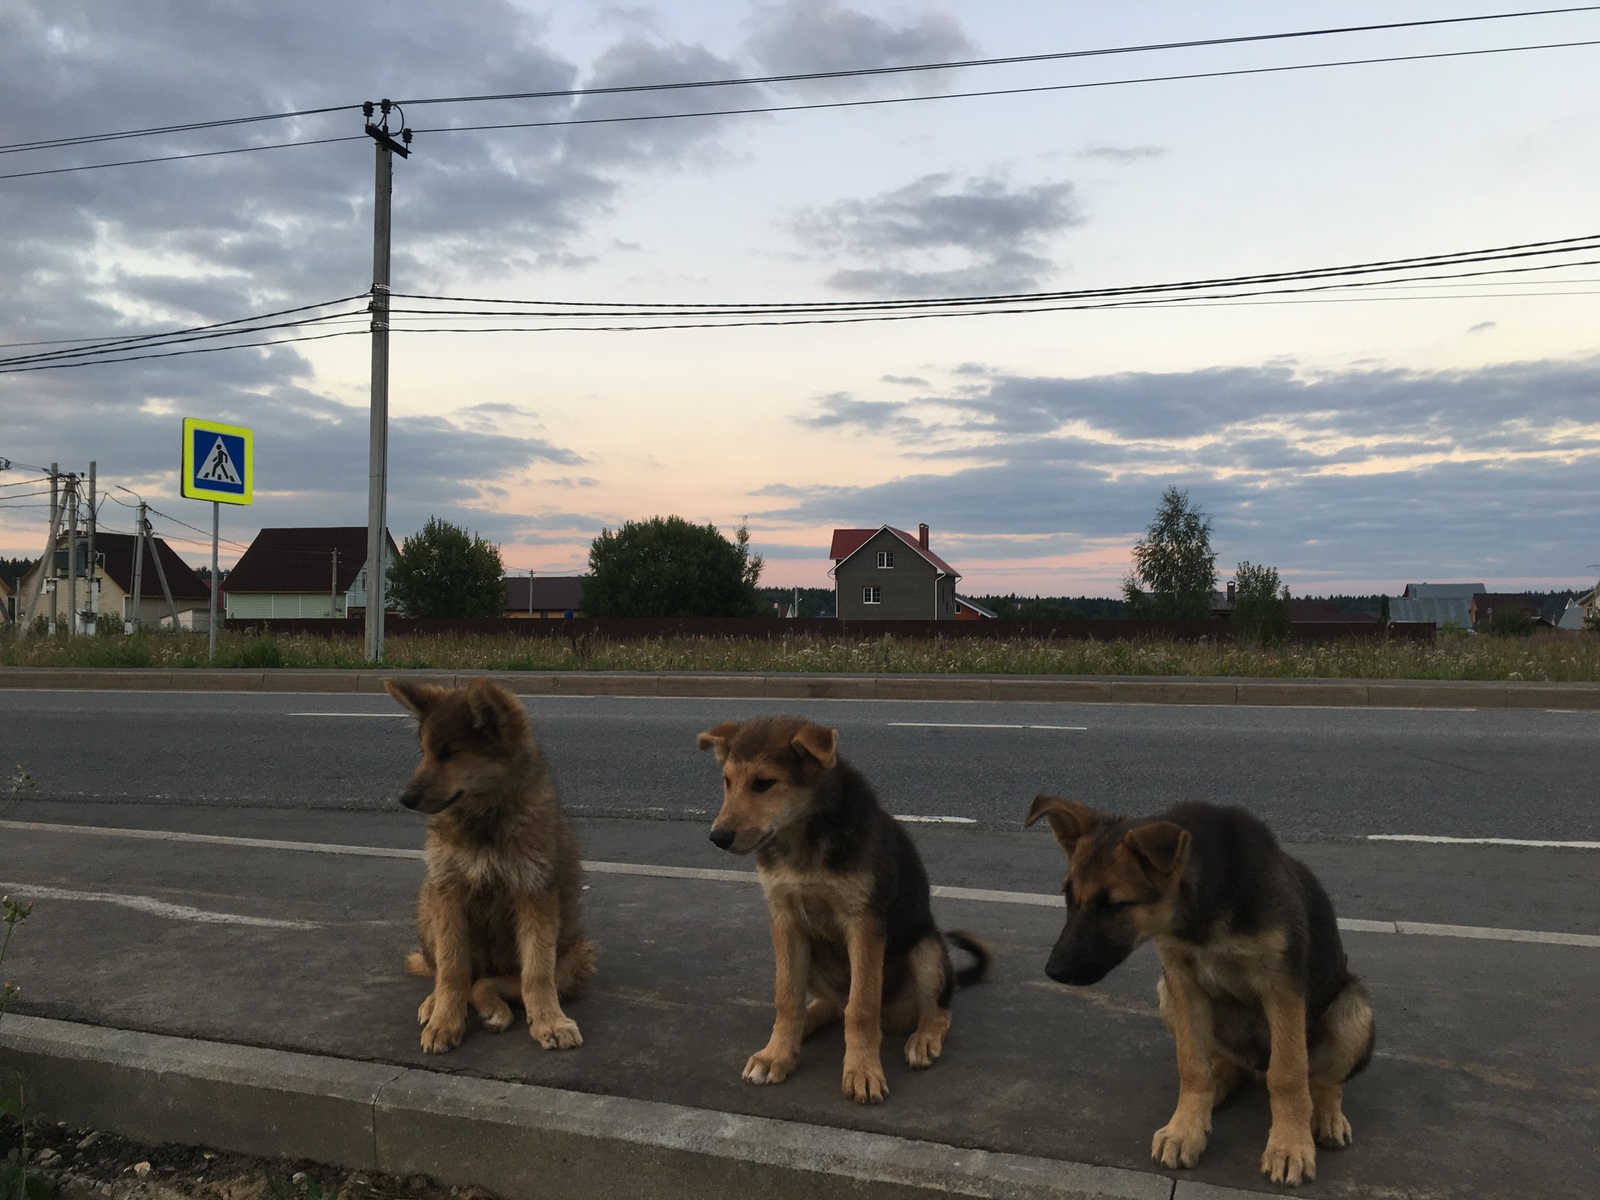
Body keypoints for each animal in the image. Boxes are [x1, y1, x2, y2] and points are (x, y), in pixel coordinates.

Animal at [385, 681, 595, 1056]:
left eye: (450, 754)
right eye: (424, 752)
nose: (404, 799)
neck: (485, 820)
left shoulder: (535, 892)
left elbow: (536, 973)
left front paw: (549, 1022)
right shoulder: (448, 890)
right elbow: (452, 969)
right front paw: (445, 1020)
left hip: (576, 957)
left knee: (490, 981)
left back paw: (494, 1006)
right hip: (428, 902)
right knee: (457, 973)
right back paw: (437, 1002)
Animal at [700, 713, 985, 1107]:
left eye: (764, 784)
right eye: (727, 782)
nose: (718, 837)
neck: (803, 837)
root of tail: (895, 1016)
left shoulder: (863, 922)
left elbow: (861, 1007)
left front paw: (862, 1071)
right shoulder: (785, 920)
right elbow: (786, 997)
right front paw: (776, 1054)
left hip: (927, 950)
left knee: (937, 1010)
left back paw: (924, 1038)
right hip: (814, 956)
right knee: (831, 1005)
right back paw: (803, 1027)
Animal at [1024, 793, 1376, 1190]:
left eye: (1114, 905)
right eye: (1067, 896)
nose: (1054, 971)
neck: (1203, 911)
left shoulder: (1283, 988)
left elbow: (1288, 1074)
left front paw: (1288, 1147)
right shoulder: (1182, 982)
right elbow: (1191, 1064)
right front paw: (1185, 1130)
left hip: (1353, 1009)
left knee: (1323, 1078)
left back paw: (1327, 1114)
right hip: (1166, 995)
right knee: (1226, 1065)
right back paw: (1215, 1090)